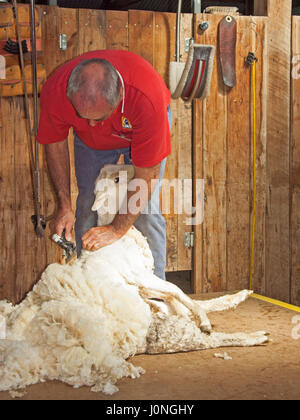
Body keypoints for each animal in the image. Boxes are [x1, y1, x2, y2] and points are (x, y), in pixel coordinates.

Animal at [0, 163, 268, 394]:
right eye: (117, 180)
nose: (136, 169)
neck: (119, 234)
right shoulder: (139, 276)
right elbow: (176, 289)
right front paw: (203, 321)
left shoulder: (145, 282)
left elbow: (179, 295)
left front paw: (205, 313)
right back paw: (252, 333)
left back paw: (240, 296)